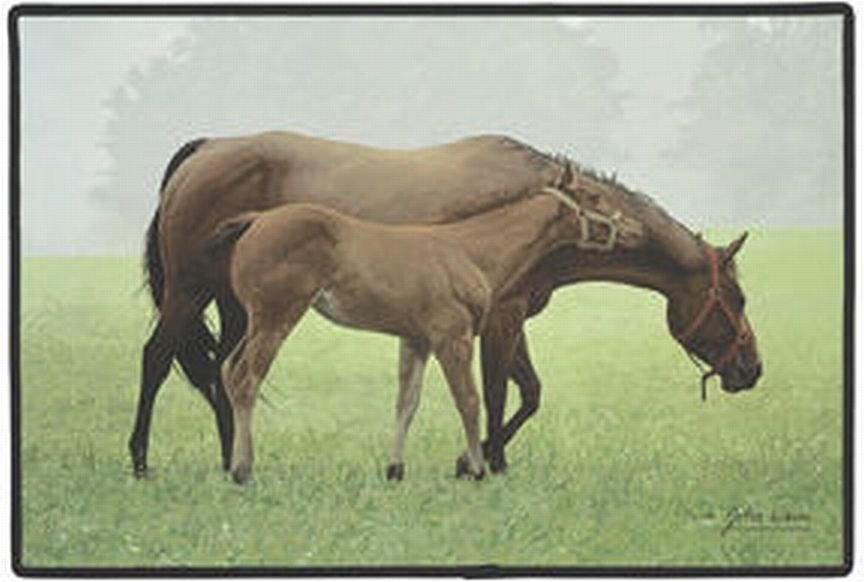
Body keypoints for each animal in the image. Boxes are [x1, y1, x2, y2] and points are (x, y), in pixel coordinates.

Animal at [130, 131, 762, 478]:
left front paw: (477, 459)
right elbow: (496, 392)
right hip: (190, 293)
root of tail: (207, 150)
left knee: (224, 369)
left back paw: (228, 458)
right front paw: (481, 463)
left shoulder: (509, 316)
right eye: (735, 297)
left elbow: (529, 393)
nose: (751, 369)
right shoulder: (498, 319)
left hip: (237, 305)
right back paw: (140, 460)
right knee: (158, 358)